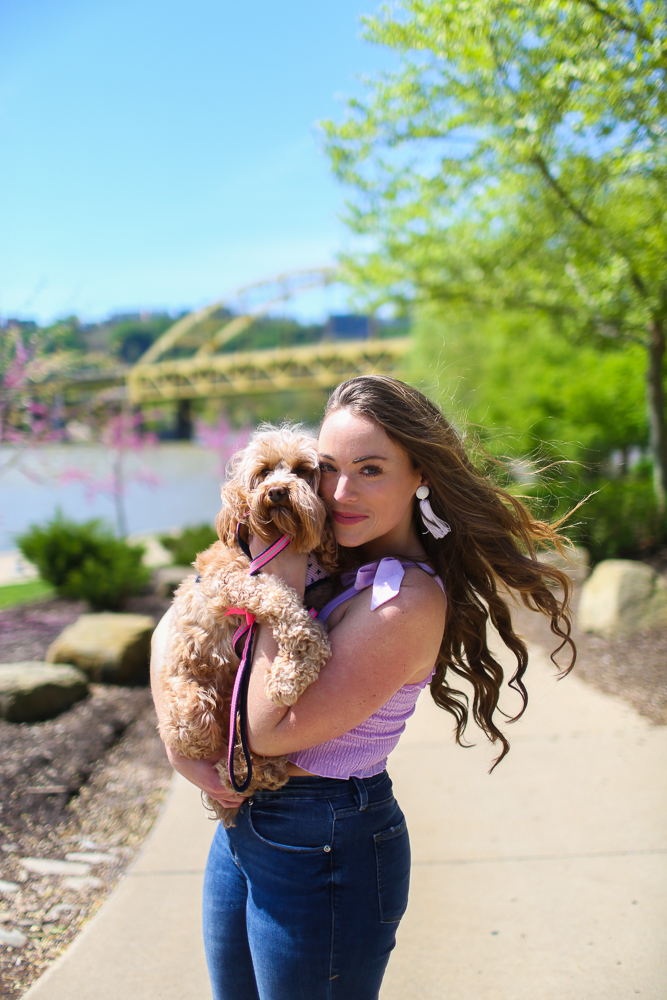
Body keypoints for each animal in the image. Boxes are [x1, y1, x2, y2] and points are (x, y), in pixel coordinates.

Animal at [159, 422, 336, 820]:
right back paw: (238, 766)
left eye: (304, 470)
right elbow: (280, 598)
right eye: (264, 471)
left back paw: (253, 765)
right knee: (205, 736)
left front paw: (291, 669)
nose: (277, 491)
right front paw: (293, 666)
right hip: (189, 705)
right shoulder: (230, 580)